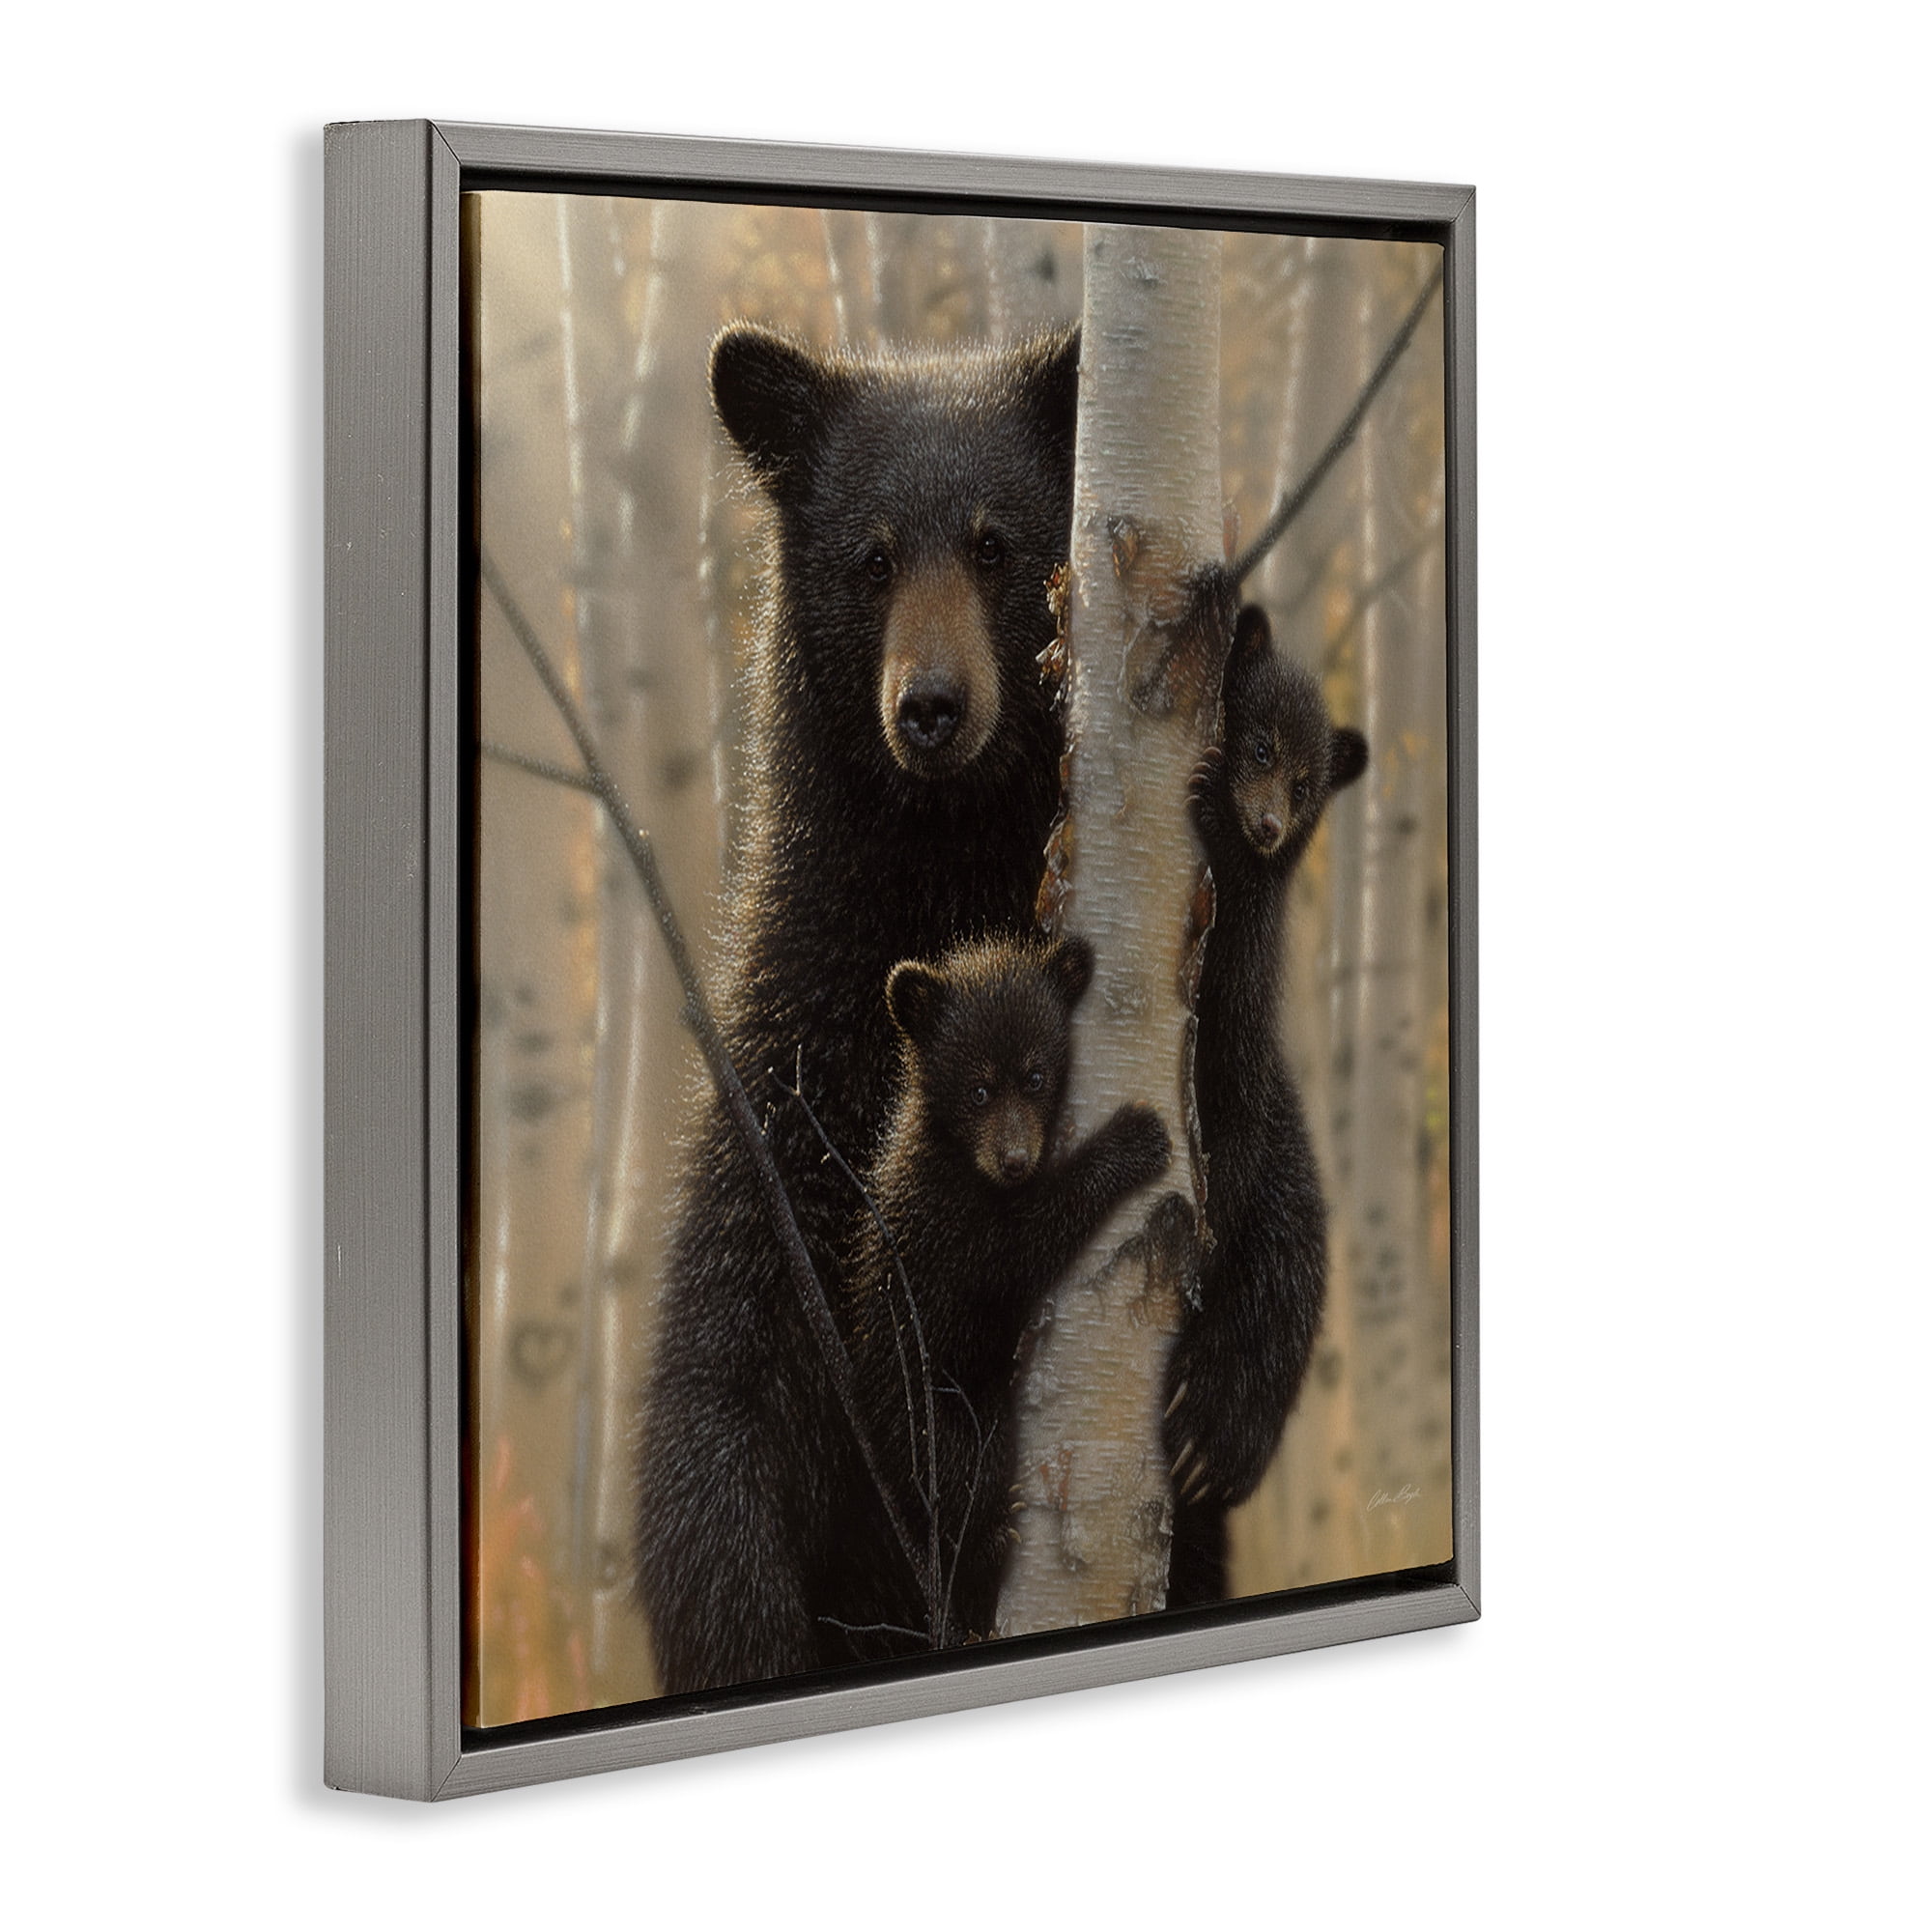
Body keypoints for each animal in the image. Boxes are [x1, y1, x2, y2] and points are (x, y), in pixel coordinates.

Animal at [634, 321, 1083, 1696]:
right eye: (869, 557)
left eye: (994, 542)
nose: (929, 706)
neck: (936, 880)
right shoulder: (788, 1097)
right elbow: (720, 1402)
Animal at [827, 935, 1175, 1663]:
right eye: (978, 1088)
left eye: (1036, 1076)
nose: (1014, 1159)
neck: (964, 1161)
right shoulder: (948, 1221)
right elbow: (1020, 1249)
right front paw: (1133, 1139)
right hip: (932, 1412)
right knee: (966, 1474)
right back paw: (987, 1543)